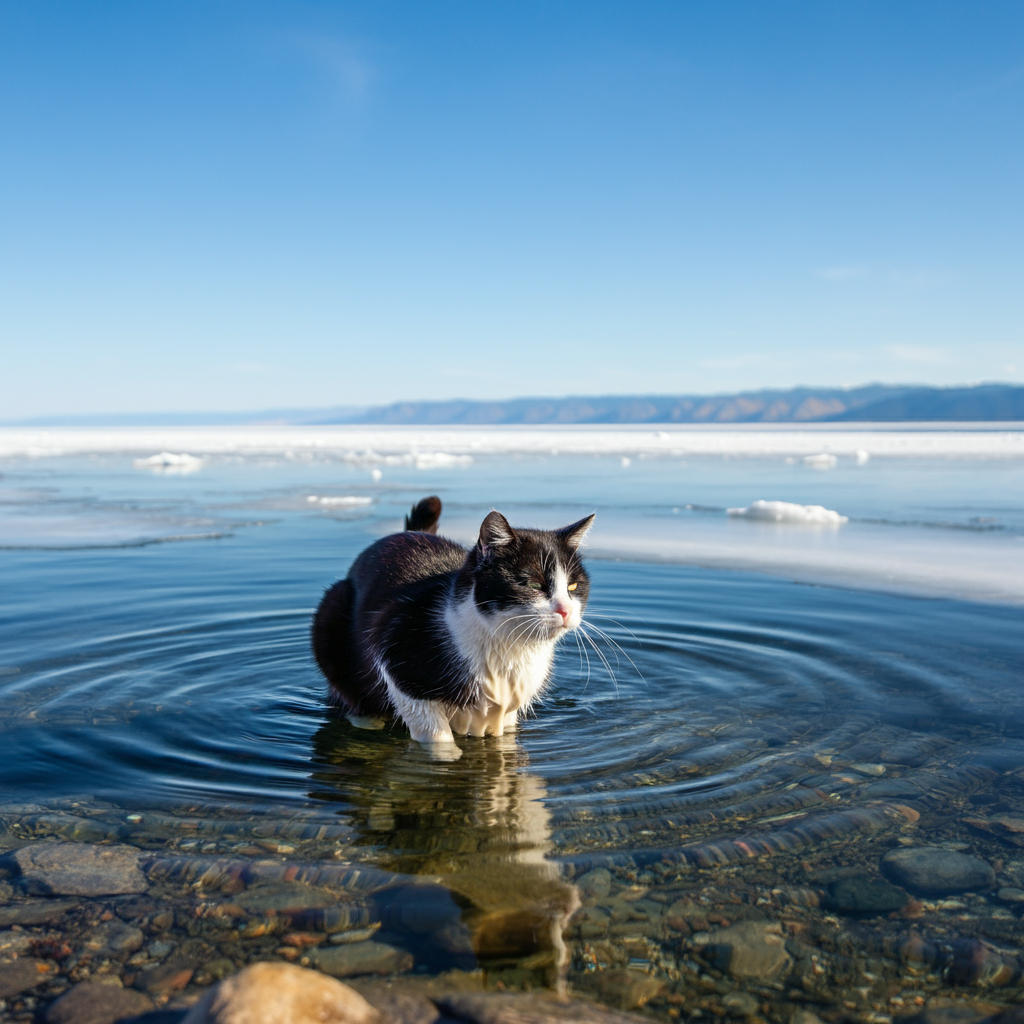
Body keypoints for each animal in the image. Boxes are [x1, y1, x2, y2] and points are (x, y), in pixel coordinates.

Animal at [315, 493, 598, 745]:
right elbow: (435, 736)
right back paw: (366, 721)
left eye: (573, 587)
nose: (565, 610)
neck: (508, 646)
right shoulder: (395, 647)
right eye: (533, 584)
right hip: (332, 614)